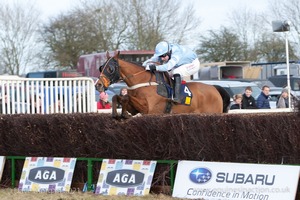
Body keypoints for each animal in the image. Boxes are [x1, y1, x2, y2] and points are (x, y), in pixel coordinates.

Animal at [96, 50, 230, 118]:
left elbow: (126, 97)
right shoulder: (136, 109)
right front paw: (118, 113)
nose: (98, 85)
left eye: (110, 69)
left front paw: (123, 114)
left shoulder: (149, 109)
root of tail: (215, 88)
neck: (143, 81)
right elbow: (118, 97)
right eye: (101, 67)